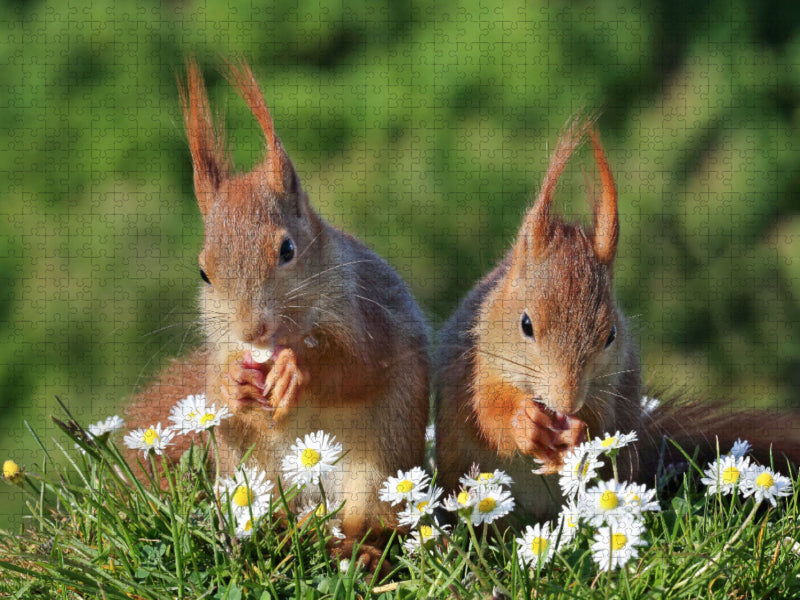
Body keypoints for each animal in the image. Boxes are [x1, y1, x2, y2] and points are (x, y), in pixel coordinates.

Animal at [123, 56, 432, 568]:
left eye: (287, 249)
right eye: (203, 271)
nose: (253, 328)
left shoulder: (369, 316)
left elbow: (359, 367)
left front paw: (296, 370)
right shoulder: (221, 347)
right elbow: (218, 389)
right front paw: (236, 382)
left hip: (378, 466)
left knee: (370, 522)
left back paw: (360, 548)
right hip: (249, 470)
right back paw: (287, 530)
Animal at [438, 118, 800, 520]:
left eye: (611, 334)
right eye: (525, 325)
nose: (566, 403)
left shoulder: (609, 386)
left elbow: (601, 423)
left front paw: (575, 435)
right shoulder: (476, 368)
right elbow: (488, 416)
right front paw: (525, 423)